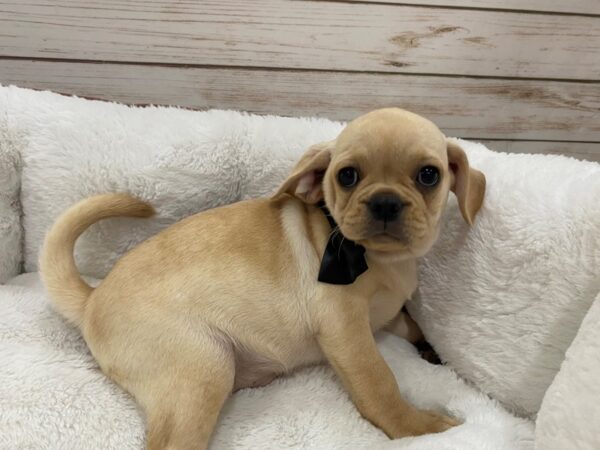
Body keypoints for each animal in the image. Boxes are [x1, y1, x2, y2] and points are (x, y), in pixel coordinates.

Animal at [41, 107, 482, 448]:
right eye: (347, 176)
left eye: (429, 175)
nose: (386, 202)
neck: (379, 261)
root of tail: (92, 298)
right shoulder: (345, 329)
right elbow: (379, 384)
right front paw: (419, 428)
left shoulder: (387, 314)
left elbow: (409, 324)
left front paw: (431, 349)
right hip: (204, 365)